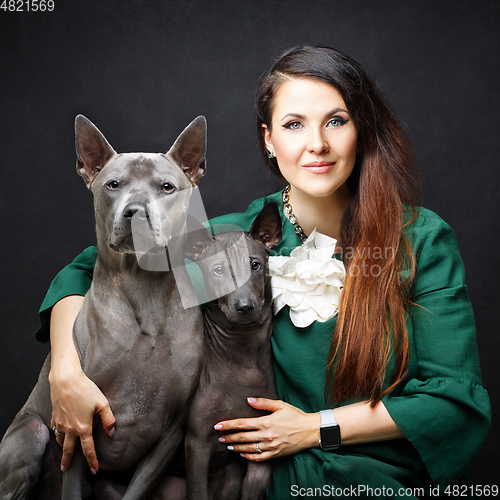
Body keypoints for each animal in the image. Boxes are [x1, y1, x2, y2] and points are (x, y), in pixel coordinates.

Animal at [0, 114, 205, 500]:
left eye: (167, 187)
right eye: (113, 184)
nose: (135, 212)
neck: (145, 290)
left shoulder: (170, 434)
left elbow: (137, 489)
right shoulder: (78, 424)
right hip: (31, 435)